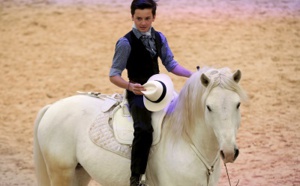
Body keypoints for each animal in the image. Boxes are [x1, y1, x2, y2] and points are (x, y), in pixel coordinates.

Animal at [34, 67, 247, 186]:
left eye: (238, 104)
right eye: (208, 107)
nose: (229, 152)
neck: (185, 141)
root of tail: (52, 107)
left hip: (79, 173)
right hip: (61, 173)